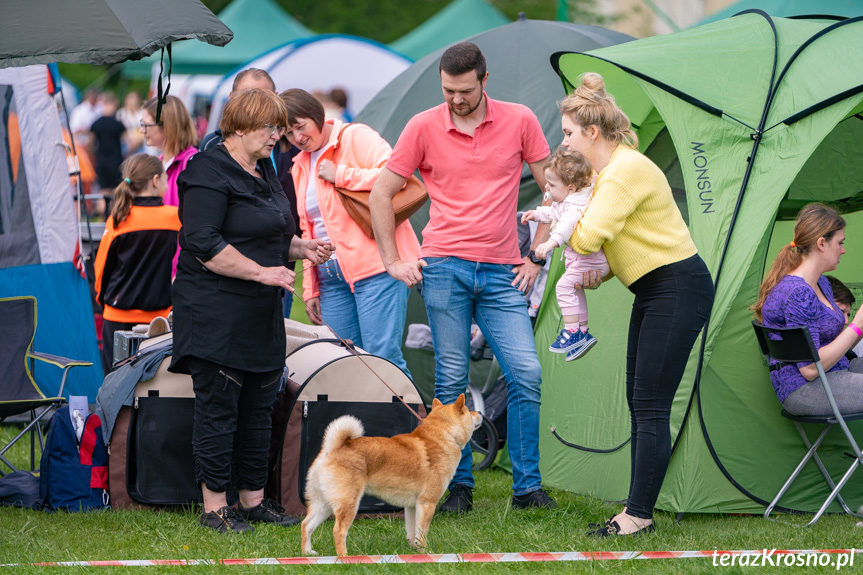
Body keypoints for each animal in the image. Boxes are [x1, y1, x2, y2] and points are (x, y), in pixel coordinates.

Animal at [302, 394, 480, 556]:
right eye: (468, 410)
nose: (479, 412)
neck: (444, 435)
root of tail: (331, 449)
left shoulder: (412, 506)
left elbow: (412, 533)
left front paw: (415, 552)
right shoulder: (427, 502)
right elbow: (422, 533)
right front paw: (426, 553)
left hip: (323, 503)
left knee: (306, 525)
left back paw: (307, 553)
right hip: (348, 503)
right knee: (338, 530)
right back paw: (344, 557)